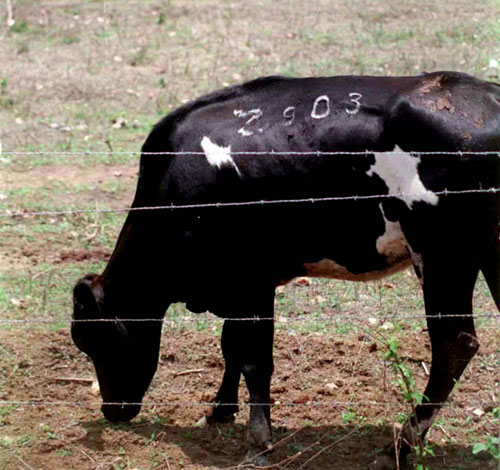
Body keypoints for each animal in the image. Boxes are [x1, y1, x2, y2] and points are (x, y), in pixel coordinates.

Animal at [71, 70, 500, 470]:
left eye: (95, 340)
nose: (112, 411)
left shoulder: (250, 281)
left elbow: (253, 359)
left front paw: (258, 442)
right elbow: (230, 347)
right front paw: (221, 410)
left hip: (443, 254)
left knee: (454, 344)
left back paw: (399, 447)